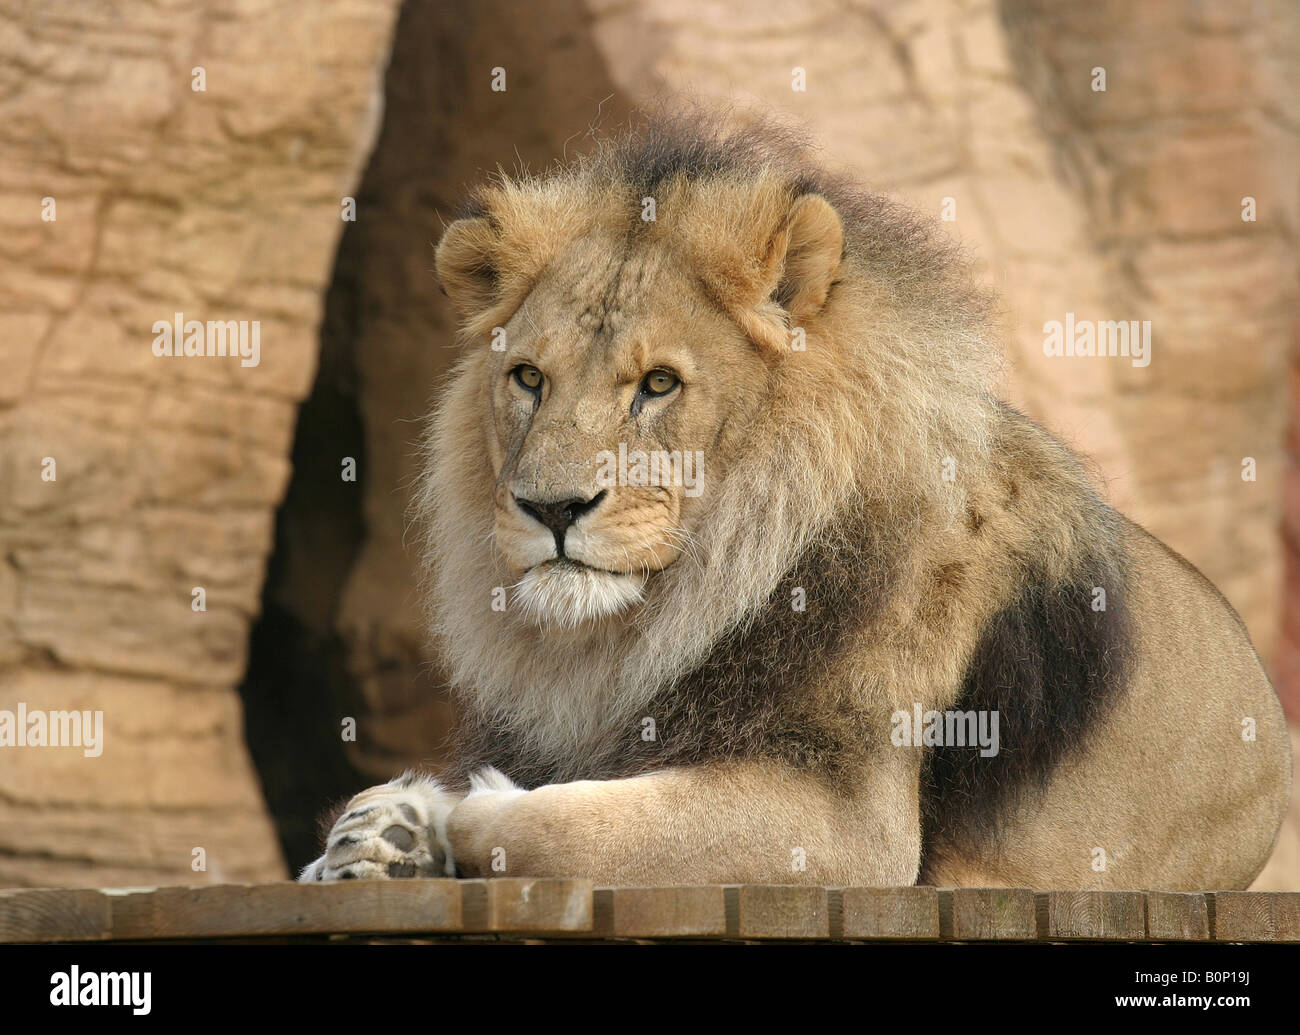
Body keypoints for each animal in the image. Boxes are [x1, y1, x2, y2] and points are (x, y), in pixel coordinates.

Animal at [300, 113, 1291, 890]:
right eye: (529, 378)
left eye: (658, 384)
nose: (551, 507)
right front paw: (378, 835)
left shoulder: (850, 826)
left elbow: (574, 825)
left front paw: (436, 810)